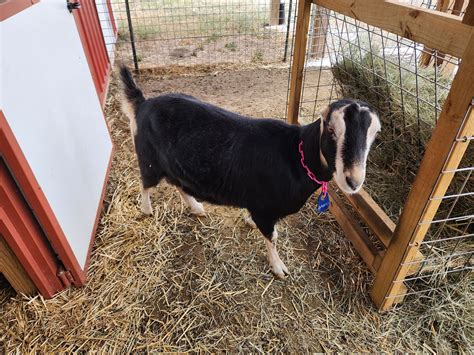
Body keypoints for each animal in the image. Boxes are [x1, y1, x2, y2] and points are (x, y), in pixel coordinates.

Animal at [119, 65, 382, 280]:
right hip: (149, 158)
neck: (297, 156)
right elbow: (272, 237)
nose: (353, 181)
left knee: (178, 183)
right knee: (146, 183)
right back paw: (147, 209)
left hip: (174, 164)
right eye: (330, 129)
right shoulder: (266, 210)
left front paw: (248, 221)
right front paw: (278, 267)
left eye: (375, 134)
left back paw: (196, 207)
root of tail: (142, 104)